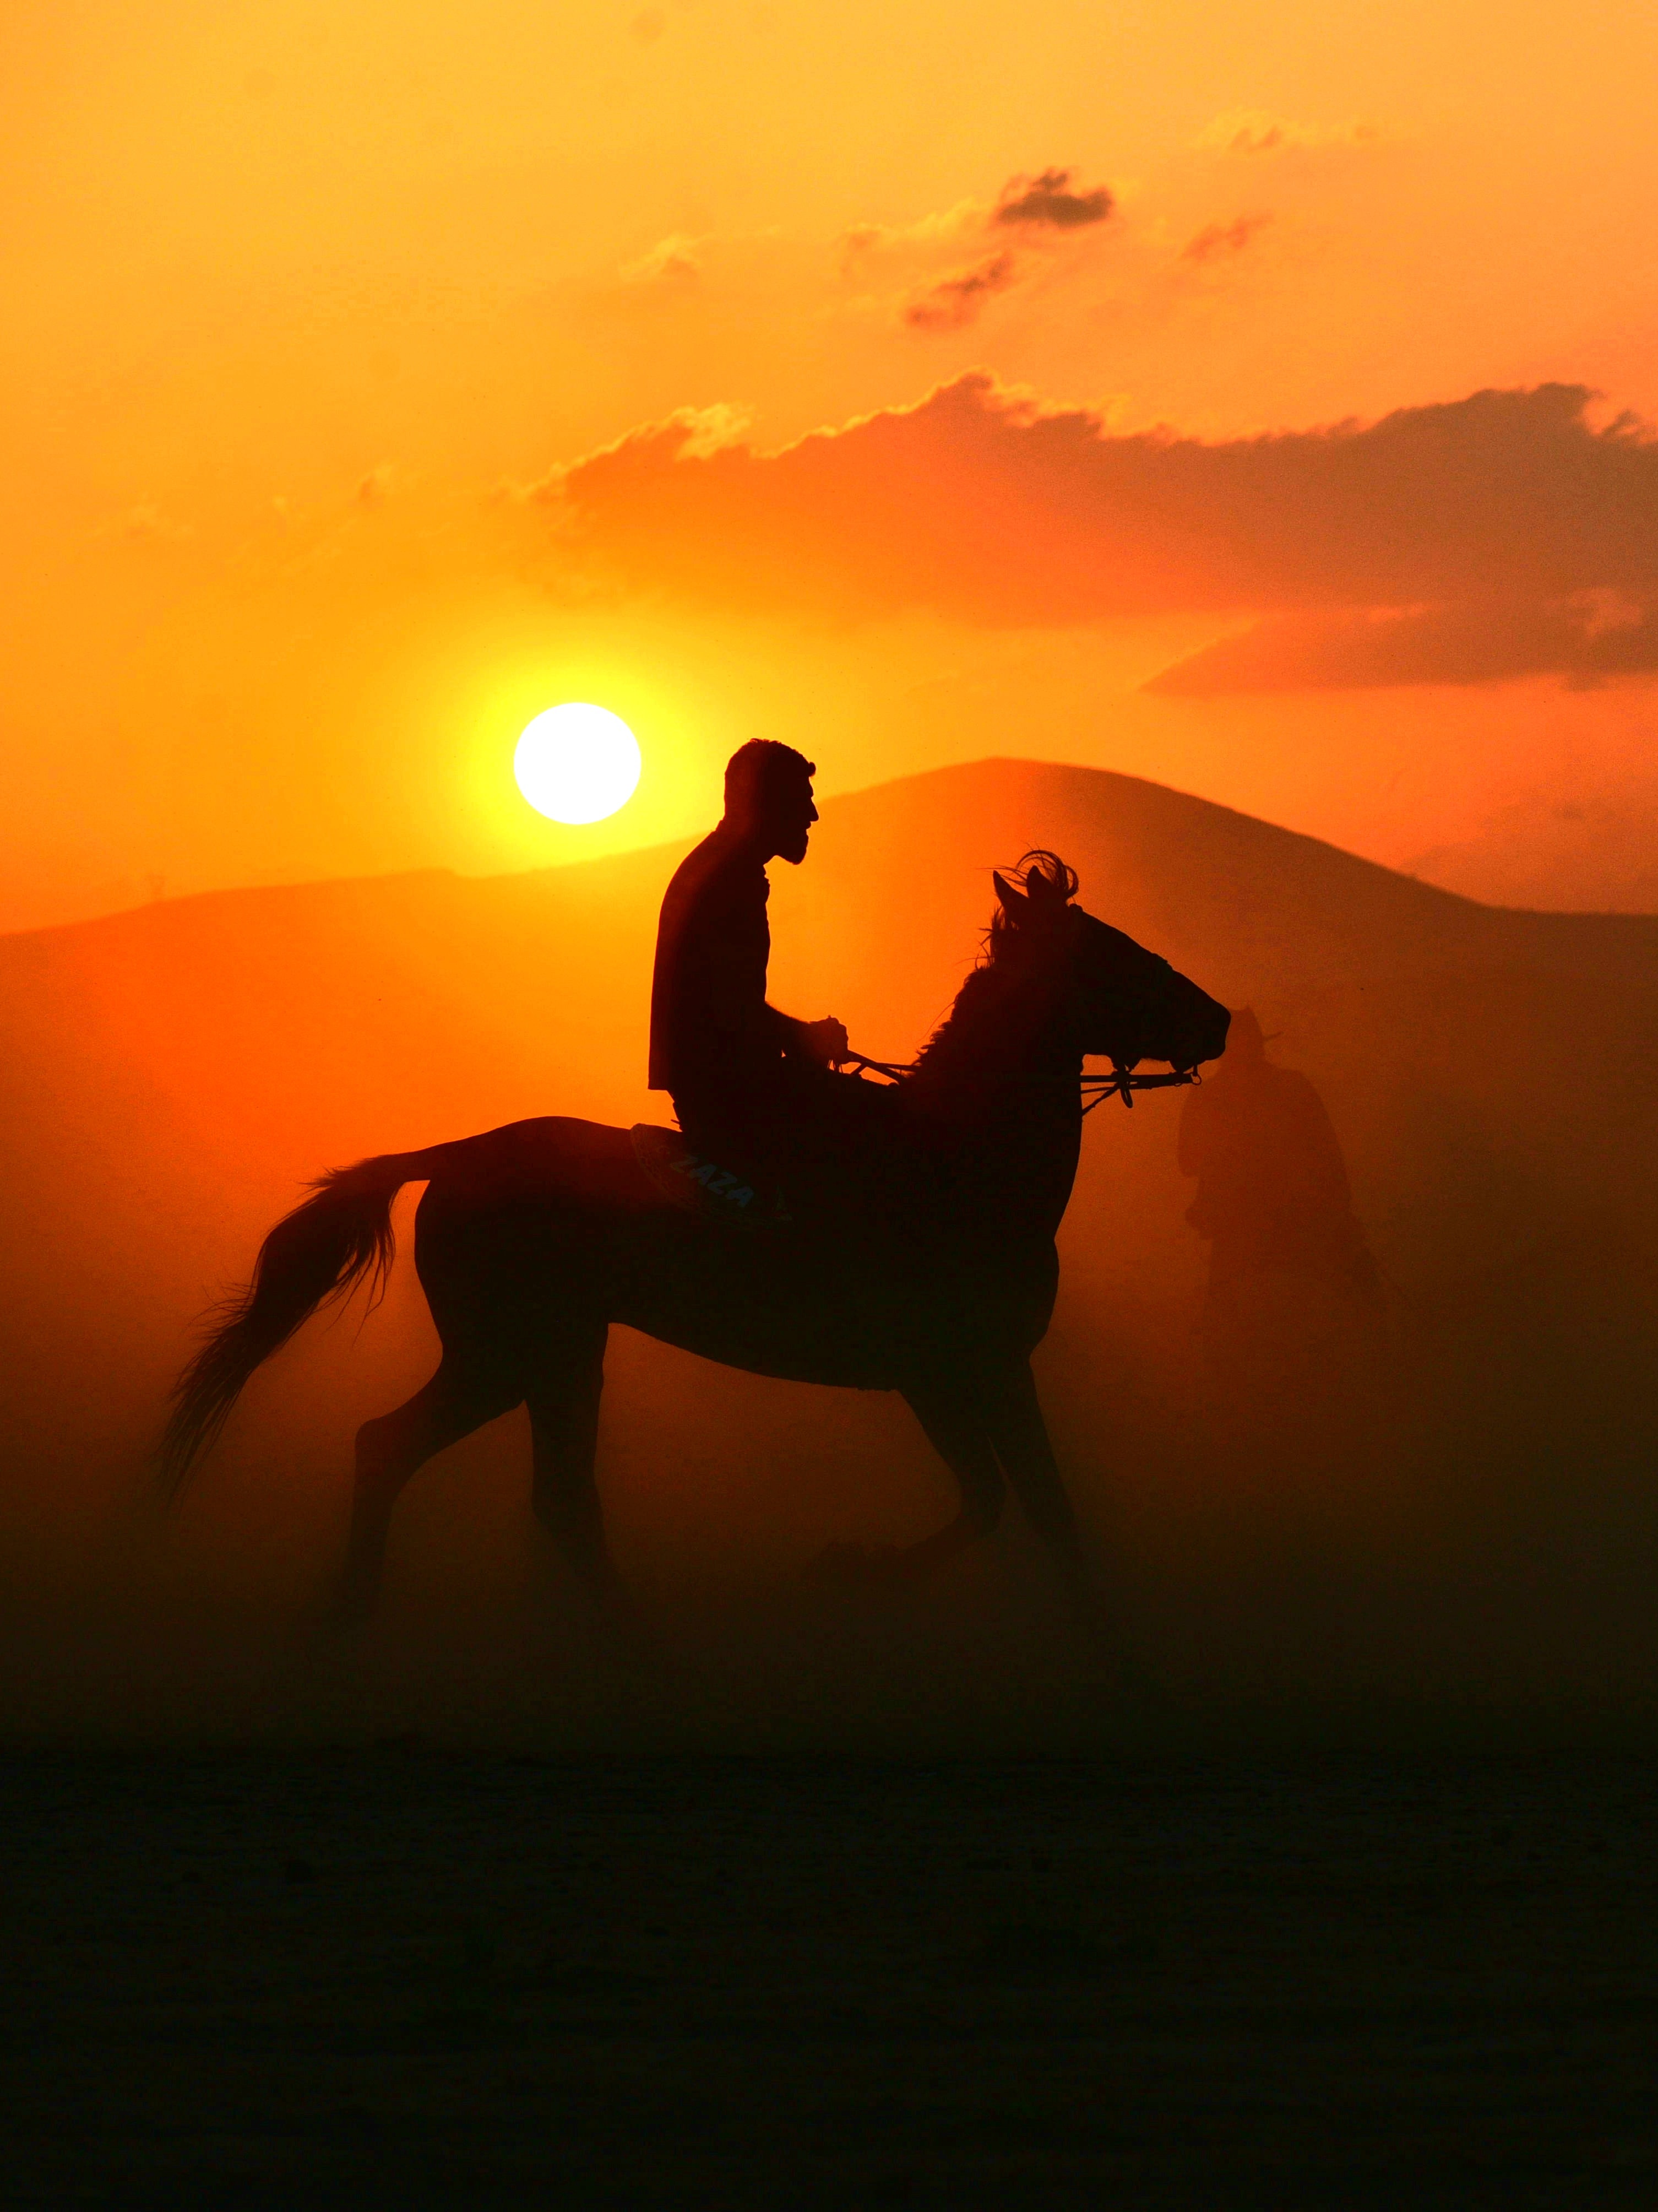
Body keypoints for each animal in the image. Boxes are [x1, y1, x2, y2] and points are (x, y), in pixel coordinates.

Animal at [159, 853, 1229, 1633]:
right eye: (1114, 954)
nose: (1217, 1018)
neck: (954, 1158)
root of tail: (458, 1155)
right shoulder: (954, 1370)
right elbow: (1019, 1506)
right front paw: (860, 1572)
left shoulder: (971, 1372)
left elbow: (1019, 1507)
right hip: (505, 1352)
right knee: (395, 1449)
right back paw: (354, 1621)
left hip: (560, 1351)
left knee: (557, 1498)